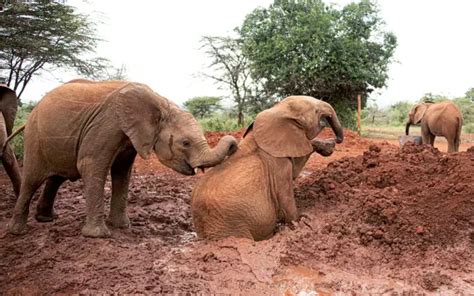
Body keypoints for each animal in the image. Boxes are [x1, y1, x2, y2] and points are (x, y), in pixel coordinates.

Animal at [6, 80, 237, 237]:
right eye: (185, 143)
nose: (235, 145)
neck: (160, 102)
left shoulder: (129, 137)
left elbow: (122, 172)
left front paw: (122, 227)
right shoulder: (107, 125)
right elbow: (90, 165)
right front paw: (98, 235)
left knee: (57, 177)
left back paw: (46, 219)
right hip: (34, 138)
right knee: (32, 180)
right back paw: (17, 231)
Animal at [191, 96, 342, 242]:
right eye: (316, 112)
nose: (338, 139)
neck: (277, 111)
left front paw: (328, 145)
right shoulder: (278, 165)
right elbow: (286, 197)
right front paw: (301, 220)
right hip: (231, 227)